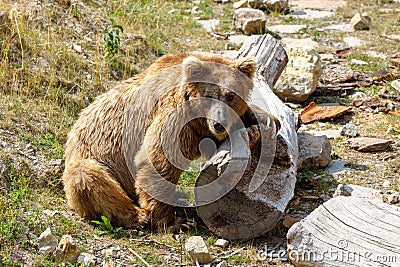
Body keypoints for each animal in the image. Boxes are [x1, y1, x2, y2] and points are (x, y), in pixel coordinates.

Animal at [62, 52, 278, 232]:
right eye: (209, 95)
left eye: (230, 95)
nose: (219, 124)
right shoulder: (174, 114)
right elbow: (157, 159)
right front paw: (174, 222)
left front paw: (266, 121)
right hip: (94, 161)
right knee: (89, 178)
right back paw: (138, 217)